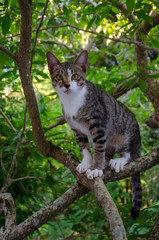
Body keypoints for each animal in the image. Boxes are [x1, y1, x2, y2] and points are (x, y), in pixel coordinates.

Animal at [46, 49, 142, 218]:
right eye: (59, 76)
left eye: (75, 76)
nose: (67, 85)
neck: (72, 101)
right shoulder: (76, 128)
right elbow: (84, 146)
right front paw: (86, 163)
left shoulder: (98, 125)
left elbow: (98, 148)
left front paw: (96, 168)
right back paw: (107, 161)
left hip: (128, 135)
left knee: (129, 153)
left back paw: (118, 160)